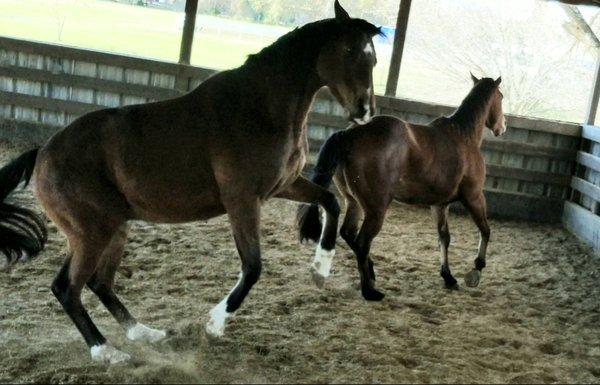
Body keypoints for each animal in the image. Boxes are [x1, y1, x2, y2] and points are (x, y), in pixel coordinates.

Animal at [0, 1, 382, 364]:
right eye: (349, 50)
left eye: (373, 58)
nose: (365, 111)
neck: (262, 108)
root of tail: (44, 151)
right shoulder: (243, 201)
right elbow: (253, 267)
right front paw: (214, 325)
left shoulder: (283, 186)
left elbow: (330, 201)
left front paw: (320, 271)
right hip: (92, 232)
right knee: (67, 288)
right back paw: (107, 352)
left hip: (112, 228)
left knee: (98, 283)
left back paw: (143, 332)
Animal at [298, 74, 504, 300]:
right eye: (501, 97)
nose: (502, 127)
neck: (463, 136)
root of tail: (351, 134)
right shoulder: (474, 197)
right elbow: (485, 230)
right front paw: (477, 269)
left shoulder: (440, 205)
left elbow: (444, 238)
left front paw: (448, 277)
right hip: (377, 209)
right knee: (362, 242)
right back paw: (370, 290)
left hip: (353, 202)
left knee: (348, 233)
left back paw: (371, 273)